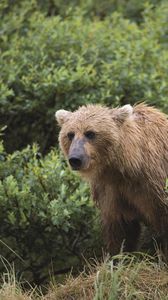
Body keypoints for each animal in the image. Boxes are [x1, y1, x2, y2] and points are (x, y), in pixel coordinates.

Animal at [55, 103, 168, 258]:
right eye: (70, 134)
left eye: (90, 133)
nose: (75, 159)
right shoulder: (111, 191)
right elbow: (120, 231)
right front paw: (119, 257)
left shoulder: (153, 184)